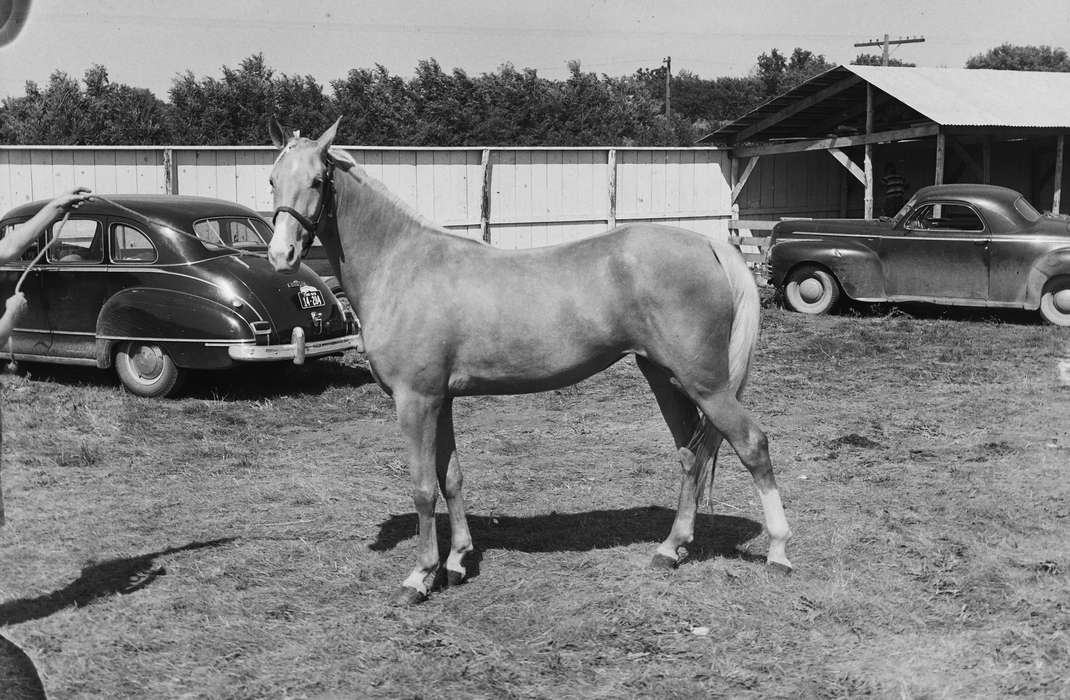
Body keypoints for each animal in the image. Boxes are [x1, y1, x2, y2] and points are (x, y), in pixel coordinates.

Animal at [266, 118, 793, 605]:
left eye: (317, 180)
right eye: (272, 179)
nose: (280, 255)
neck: (402, 265)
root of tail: (711, 245)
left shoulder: (415, 401)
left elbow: (422, 488)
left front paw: (420, 576)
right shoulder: (442, 400)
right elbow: (451, 477)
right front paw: (457, 562)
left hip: (707, 384)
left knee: (751, 444)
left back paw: (779, 553)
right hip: (665, 378)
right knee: (690, 454)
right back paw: (671, 549)